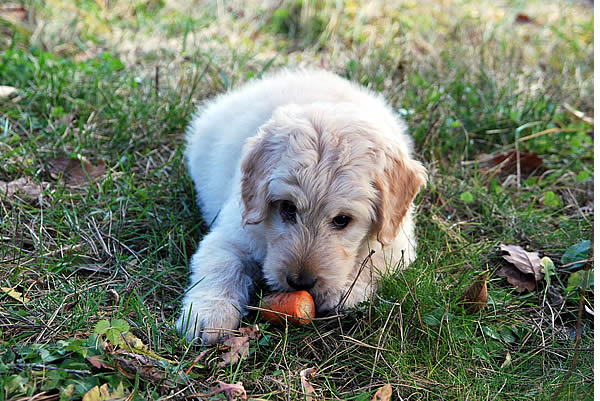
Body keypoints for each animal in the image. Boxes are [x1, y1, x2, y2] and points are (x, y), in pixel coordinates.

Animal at [175, 69, 426, 344]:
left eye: (342, 220)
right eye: (287, 207)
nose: (300, 283)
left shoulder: (397, 242)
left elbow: (374, 261)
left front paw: (345, 290)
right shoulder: (233, 233)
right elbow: (221, 266)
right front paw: (208, 314)